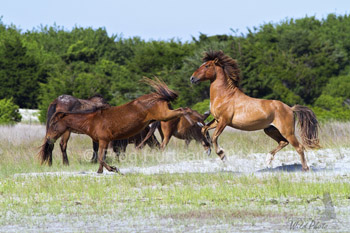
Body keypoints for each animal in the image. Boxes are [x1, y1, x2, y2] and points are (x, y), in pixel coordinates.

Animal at [41, 78, 194, 173]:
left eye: (54, 125)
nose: (47, 137)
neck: (91, 120)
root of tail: (157, 96)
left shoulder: (105, 141)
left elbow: (102, 157)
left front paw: (113, 168)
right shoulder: (104, 141)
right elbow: (101, 157)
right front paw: (101, 170)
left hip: (164, 115)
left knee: (183, 110)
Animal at [191, 51, 320, 171]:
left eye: (207, 66)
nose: (192, 78)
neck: (225, 96)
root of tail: (290, 108)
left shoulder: (224, 121)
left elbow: (214, 137)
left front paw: (222, 155)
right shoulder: (217, 120)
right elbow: (204, 129)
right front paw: (207, 149)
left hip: (287, 131)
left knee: (299, 147)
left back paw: (305, 169)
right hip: (270, 129)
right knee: (283, 142)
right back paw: (268, 159)